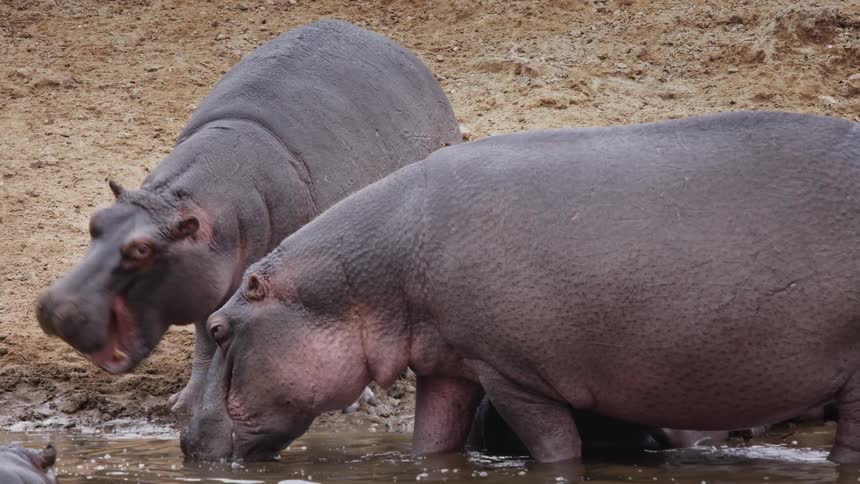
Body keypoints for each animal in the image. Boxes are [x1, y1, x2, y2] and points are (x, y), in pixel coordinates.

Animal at [34, 19, 462, 415]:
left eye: (142, 249)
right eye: (96, 221)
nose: (56, 307)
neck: (182, 203)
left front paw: (349, 402)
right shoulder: (207, 282)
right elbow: (207, 339)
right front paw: (186, 404)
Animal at [181, 111, 860, 463]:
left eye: (218, 327)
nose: (185, 439)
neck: (375, 270)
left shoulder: (512, 373)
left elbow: (556, 451)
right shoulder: (450, 365)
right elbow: (432, 443)